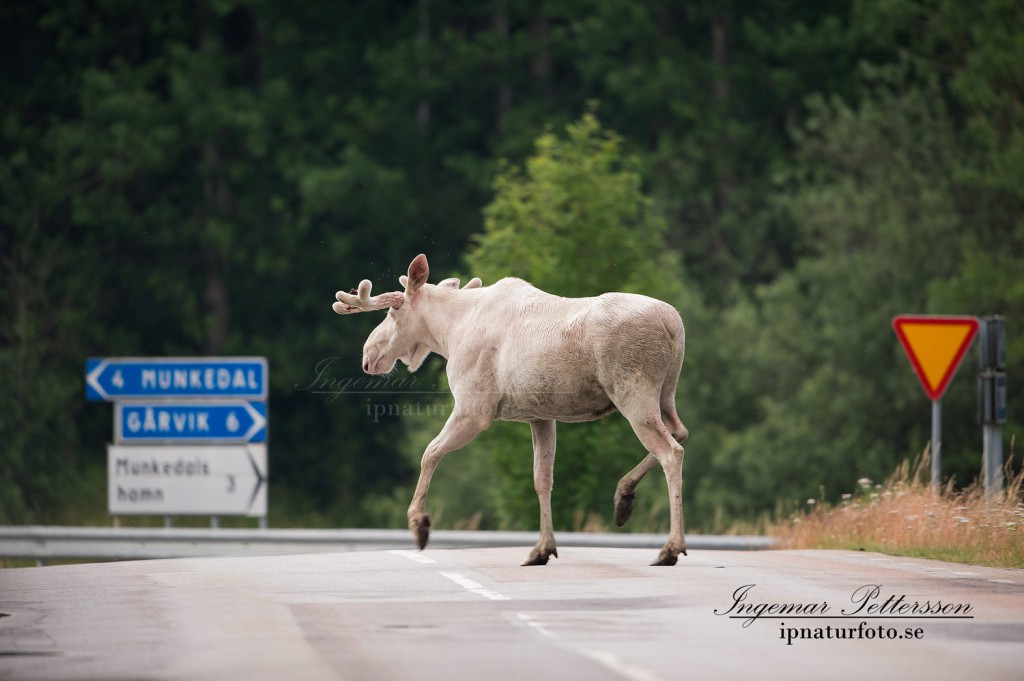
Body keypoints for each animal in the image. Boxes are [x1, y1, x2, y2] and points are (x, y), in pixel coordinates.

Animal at [331, 253, 692, 561]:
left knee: (671, 451)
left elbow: (429, 453)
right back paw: (623, 498)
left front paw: (420, 525)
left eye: (393, 312)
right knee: (681, 431)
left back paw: (671, 547)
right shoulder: (540, 417)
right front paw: (543, 548)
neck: (449, 332)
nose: (368, 357)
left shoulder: (474, 409)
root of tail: (675, 325)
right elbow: (542, 479)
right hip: (665, 395)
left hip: (633, 393)